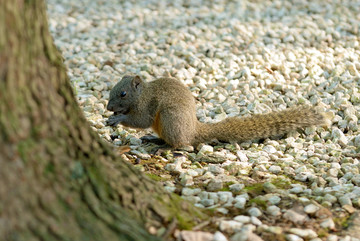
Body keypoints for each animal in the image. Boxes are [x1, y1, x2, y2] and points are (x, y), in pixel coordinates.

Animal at [105, 75, 328, 149]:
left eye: (123, 93)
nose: (108, 107)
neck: (142, 94)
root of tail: (194, 129)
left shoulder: (146, 106)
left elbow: (140, 121)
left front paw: (118, 118)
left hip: (170, 119)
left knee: (183, 144)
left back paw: (165, 147)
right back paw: (155, 139)